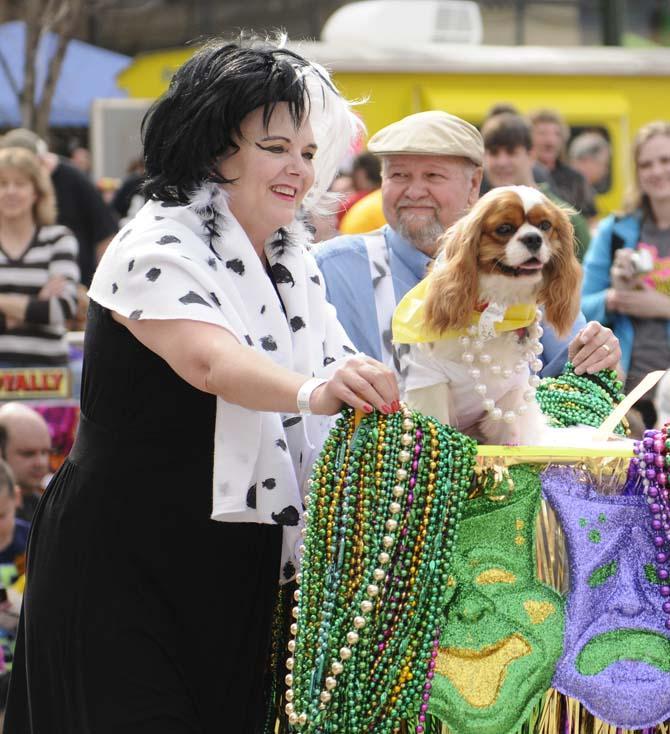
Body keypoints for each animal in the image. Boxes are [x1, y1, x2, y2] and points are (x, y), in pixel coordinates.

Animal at [402, 187, 584, 446]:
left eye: (545, 225)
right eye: (504, 229)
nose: (534, 238)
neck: (495, 310)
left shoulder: (511, 394)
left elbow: (509, 435)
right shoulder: (429, 382)